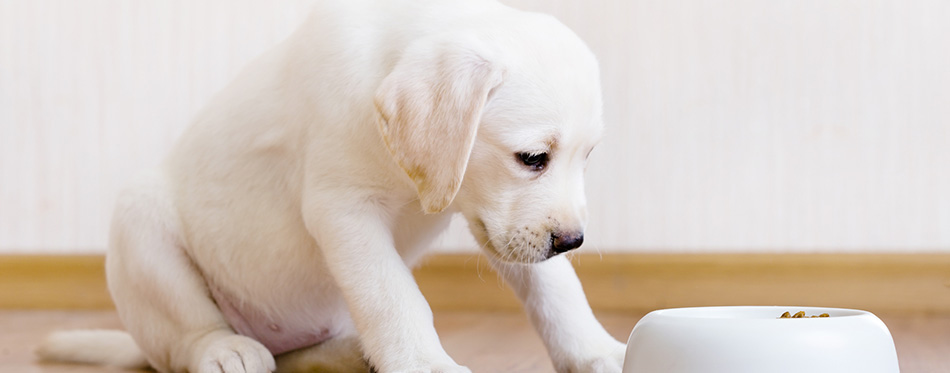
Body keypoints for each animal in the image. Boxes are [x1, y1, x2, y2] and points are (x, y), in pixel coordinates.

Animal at [37, 0, 628, 370]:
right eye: (533, 159)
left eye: (587, 158)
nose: (572, 241)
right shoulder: (344, 210)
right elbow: (393, 297)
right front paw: (424, 363)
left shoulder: (494, 219)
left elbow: (556, 291)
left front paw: (599, 351)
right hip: (140, 224)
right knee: (189, 338)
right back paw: (226, 351)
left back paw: (349, 354)